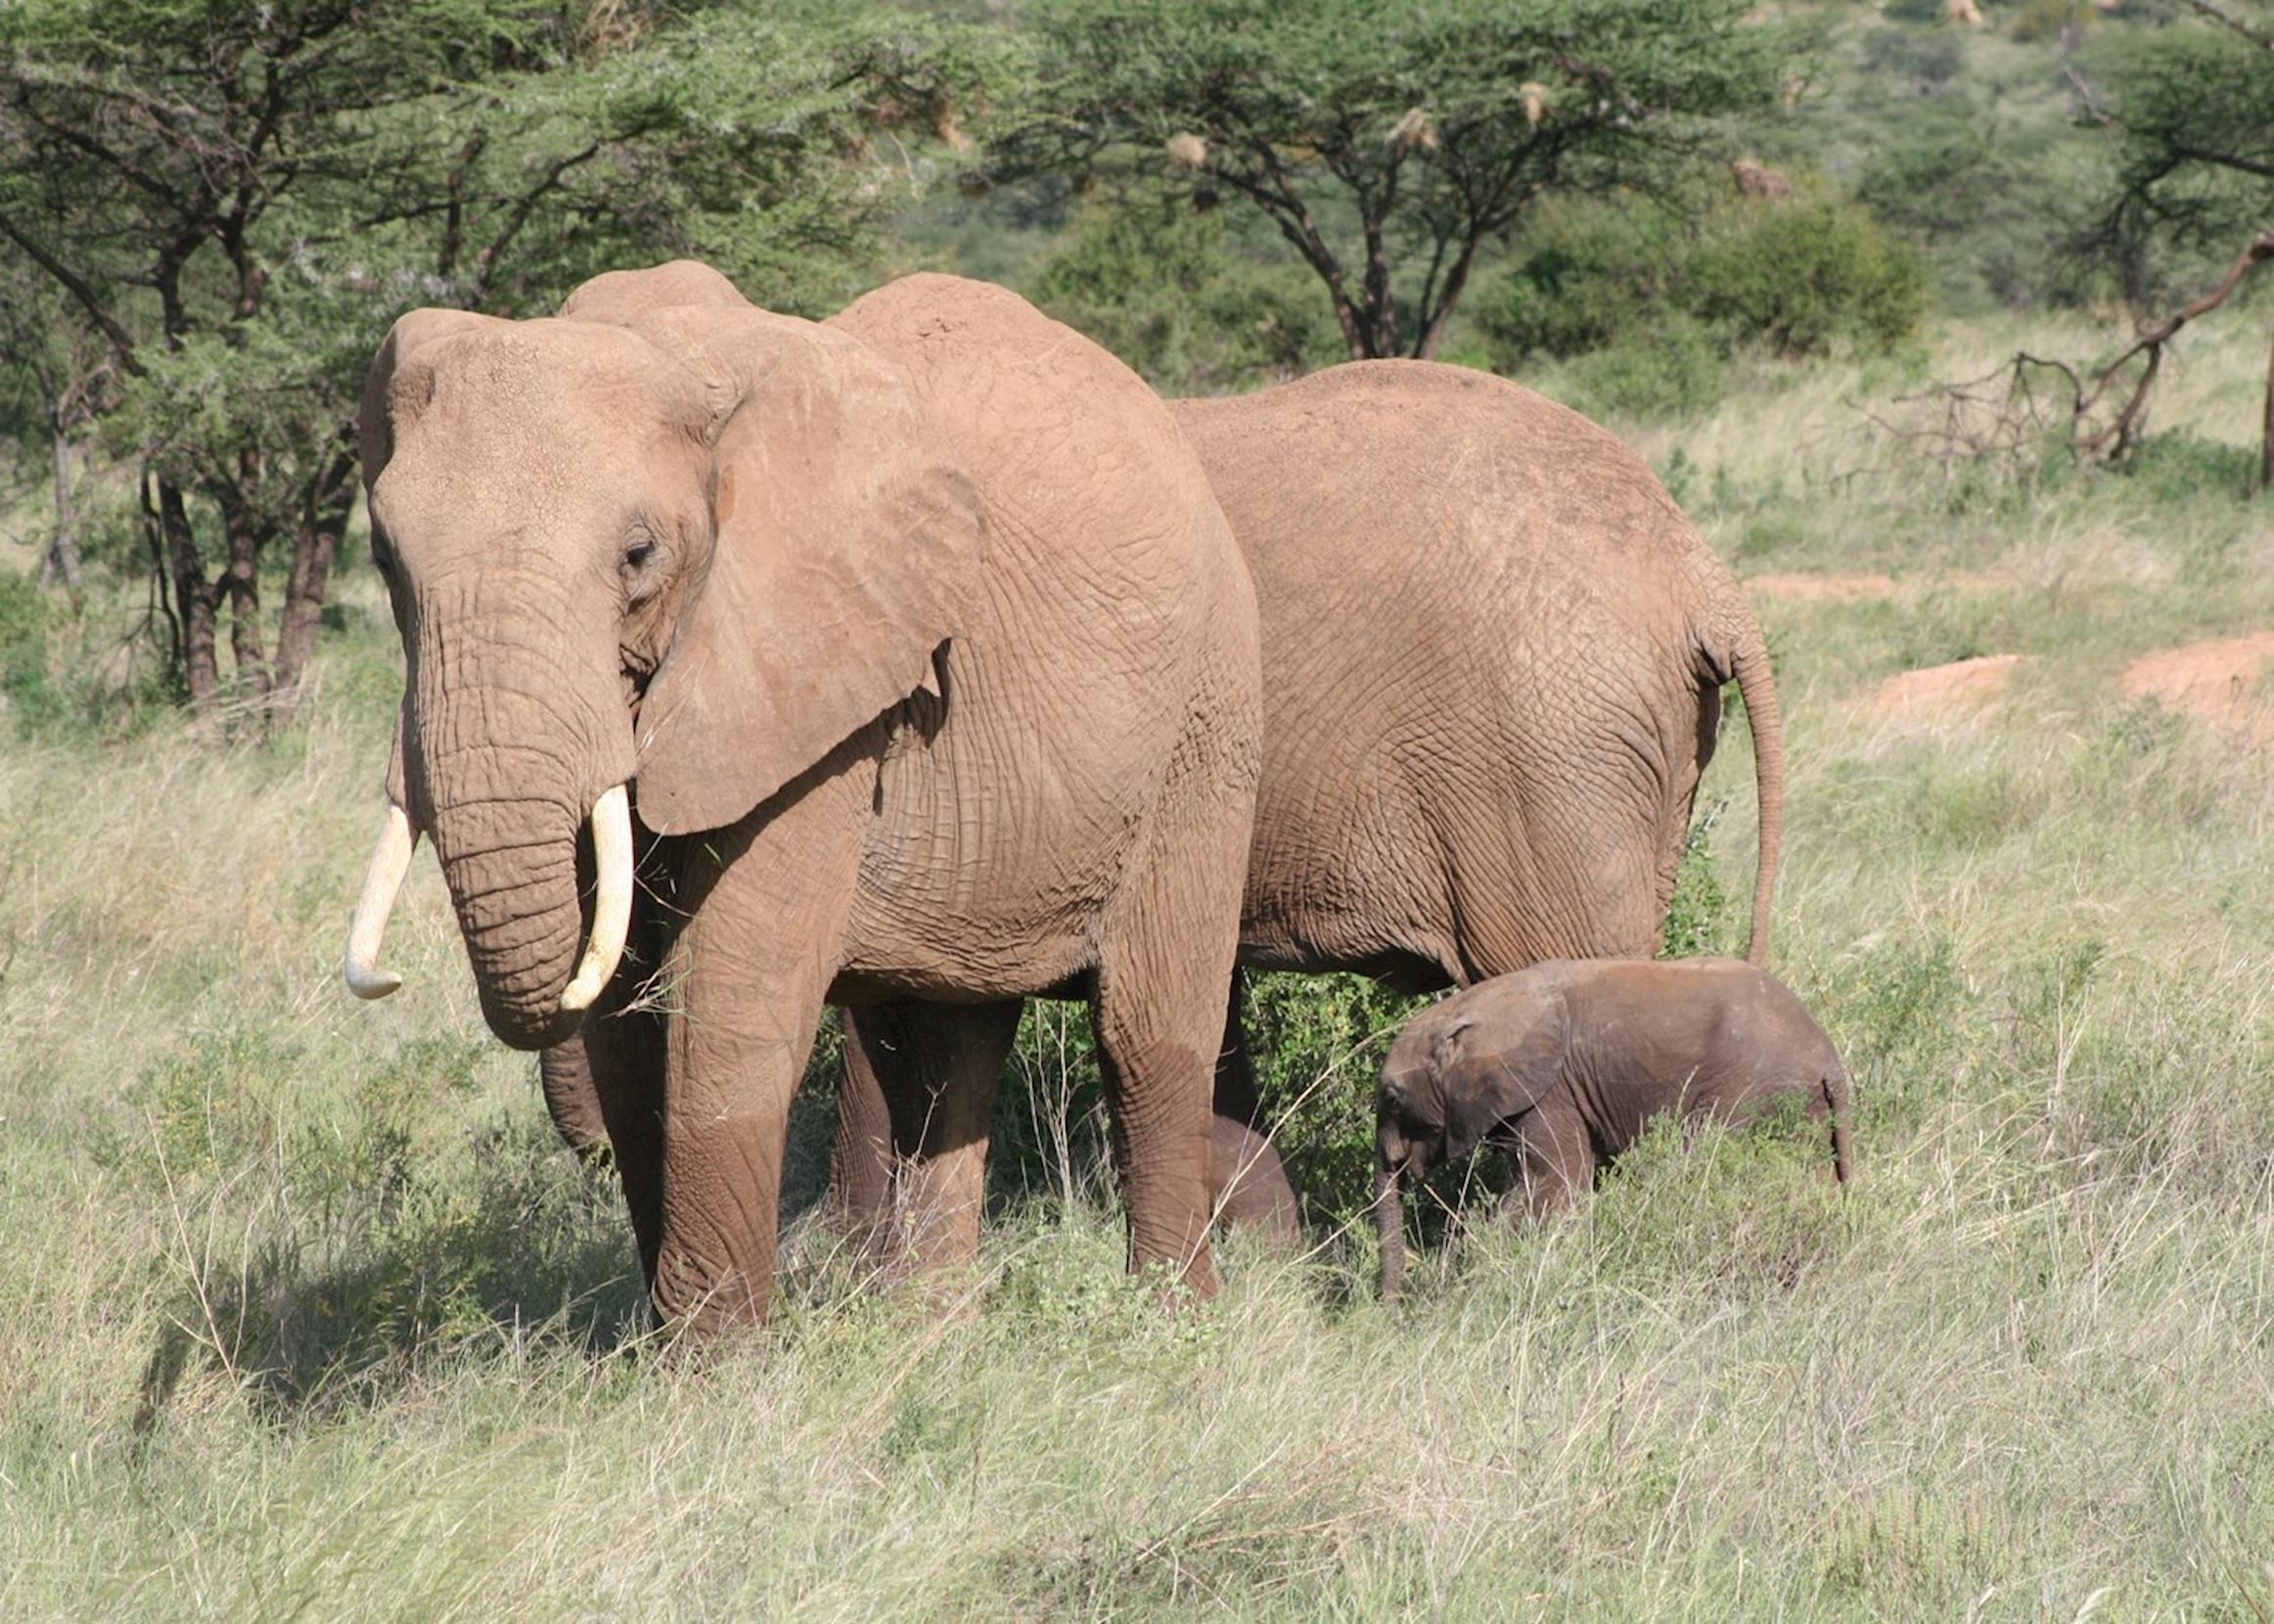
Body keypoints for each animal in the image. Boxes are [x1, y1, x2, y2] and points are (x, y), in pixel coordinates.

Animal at [341, 262, 1264, 1328]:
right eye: (384, 561)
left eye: (638, 556)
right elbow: (626, 1035)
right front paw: (662, 1346)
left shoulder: (813, 676)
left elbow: (733, 1004)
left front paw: (716, 1360)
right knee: (945, 1051)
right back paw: (929, 1328)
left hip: (1204, 726)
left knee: (1148, 1037)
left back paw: (1170, 1323)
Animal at [1364, 950, 1846, 1291]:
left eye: (1391, 1098)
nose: (1394, 1310)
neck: (1473, 1008)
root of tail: (1831, 1063)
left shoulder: (1552, 1093)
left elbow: (1556, 1186)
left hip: (1749, 1090)